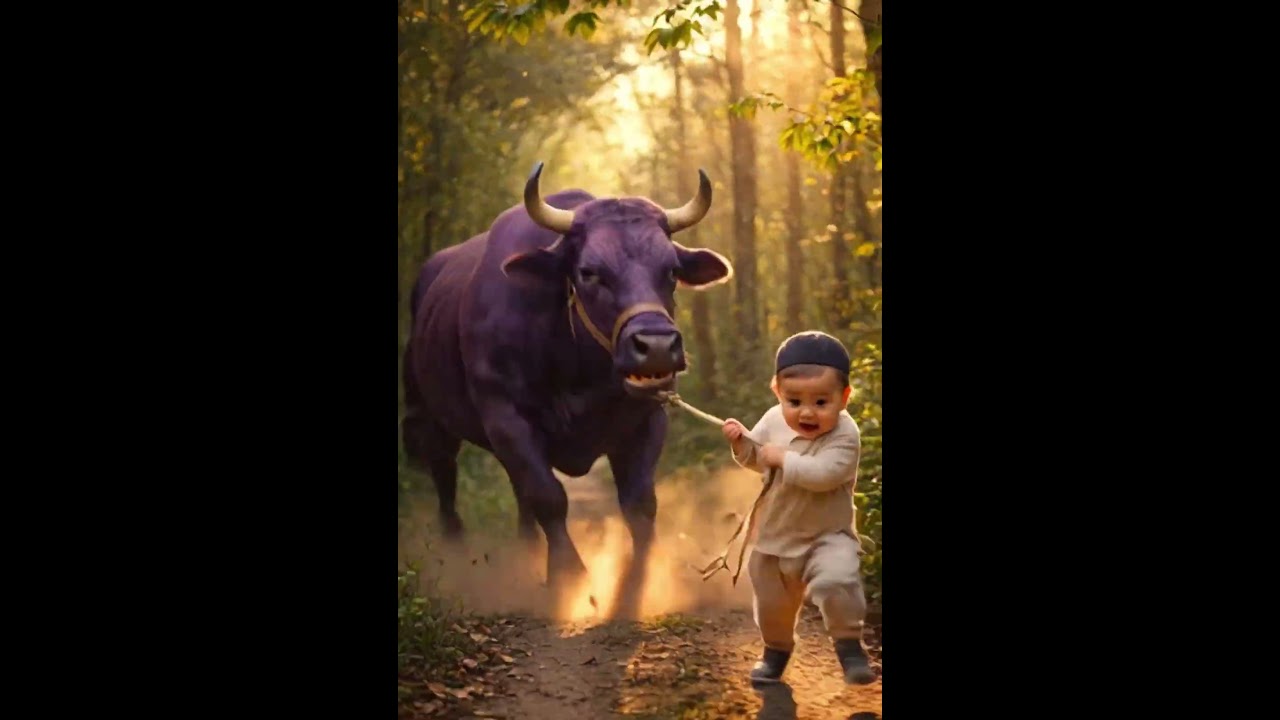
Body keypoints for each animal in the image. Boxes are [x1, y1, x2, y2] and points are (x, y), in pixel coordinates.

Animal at [402, 162, 733, 614]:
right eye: (589, 272)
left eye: (671, 271)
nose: (657, 347)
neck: (576, 365)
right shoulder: (506, 415)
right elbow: (549, 495)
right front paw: (568, 575)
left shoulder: (647, 417)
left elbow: (639, 502)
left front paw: (639, 578)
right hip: (430, 418)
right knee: (446, 480)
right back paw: (456, 552)